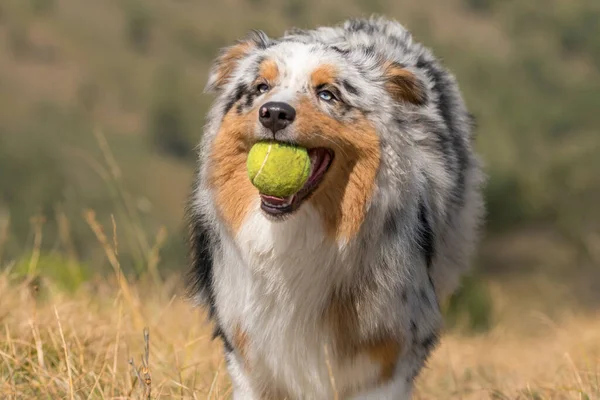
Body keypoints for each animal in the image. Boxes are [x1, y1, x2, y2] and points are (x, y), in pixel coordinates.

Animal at [185, 16, 486, 400]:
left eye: (328, 93)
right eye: (261, 87)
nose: (274, 112)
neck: (293, 236)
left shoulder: (389, 346)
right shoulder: (248, 347)